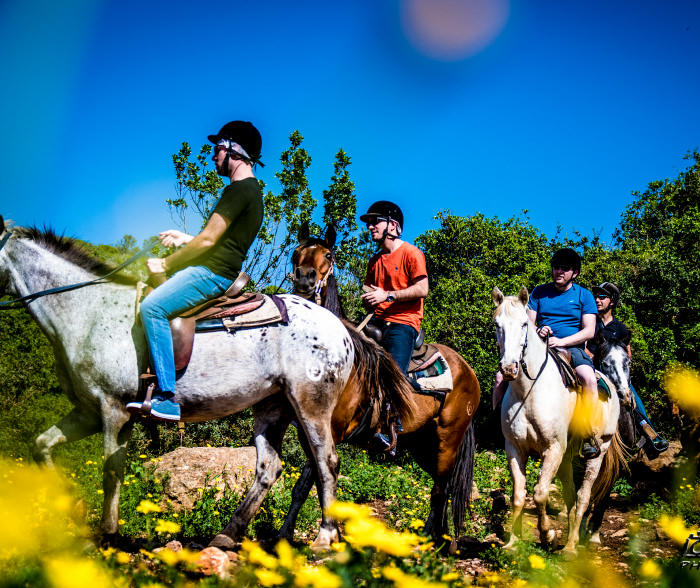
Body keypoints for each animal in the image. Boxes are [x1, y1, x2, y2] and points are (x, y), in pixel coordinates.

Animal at [0, 217, 416, 552]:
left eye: (327, 255)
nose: (305, 278)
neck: (89, 311)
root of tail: (340, 328)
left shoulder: (114, 411)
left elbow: (111, 470)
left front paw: (106, 534)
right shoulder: (86, 412)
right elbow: (41, 446)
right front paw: (71, 510)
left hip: (312, 409)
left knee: (325, 463)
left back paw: (324, 537)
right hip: (273, 407)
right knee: (270, 468)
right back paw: (228, 534)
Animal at [278, 224, 482, 544]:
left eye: (329, 254)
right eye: (296, 252)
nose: (304, 278)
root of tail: (468, 371)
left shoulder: (331, 431)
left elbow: (320, 480)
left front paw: (324, 538)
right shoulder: (307, 431)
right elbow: (302, 487)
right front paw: (284, 535)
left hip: (449, 437)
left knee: (439, 490)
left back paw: (427, 542)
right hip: (422, 443)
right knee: (445, 487)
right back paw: (442, 542)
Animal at [490, 288, 628, 552]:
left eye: (524, 324)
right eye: (497, 325)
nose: (509, 368)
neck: (529, 391)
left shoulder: (552, 449)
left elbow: (540, 493)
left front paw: (548, 535)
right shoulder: (515, 448)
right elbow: (519, 495)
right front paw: (513, 542)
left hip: (599, 450)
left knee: (584, 496)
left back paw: (571, 547)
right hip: (567, 456)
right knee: (571, 494)